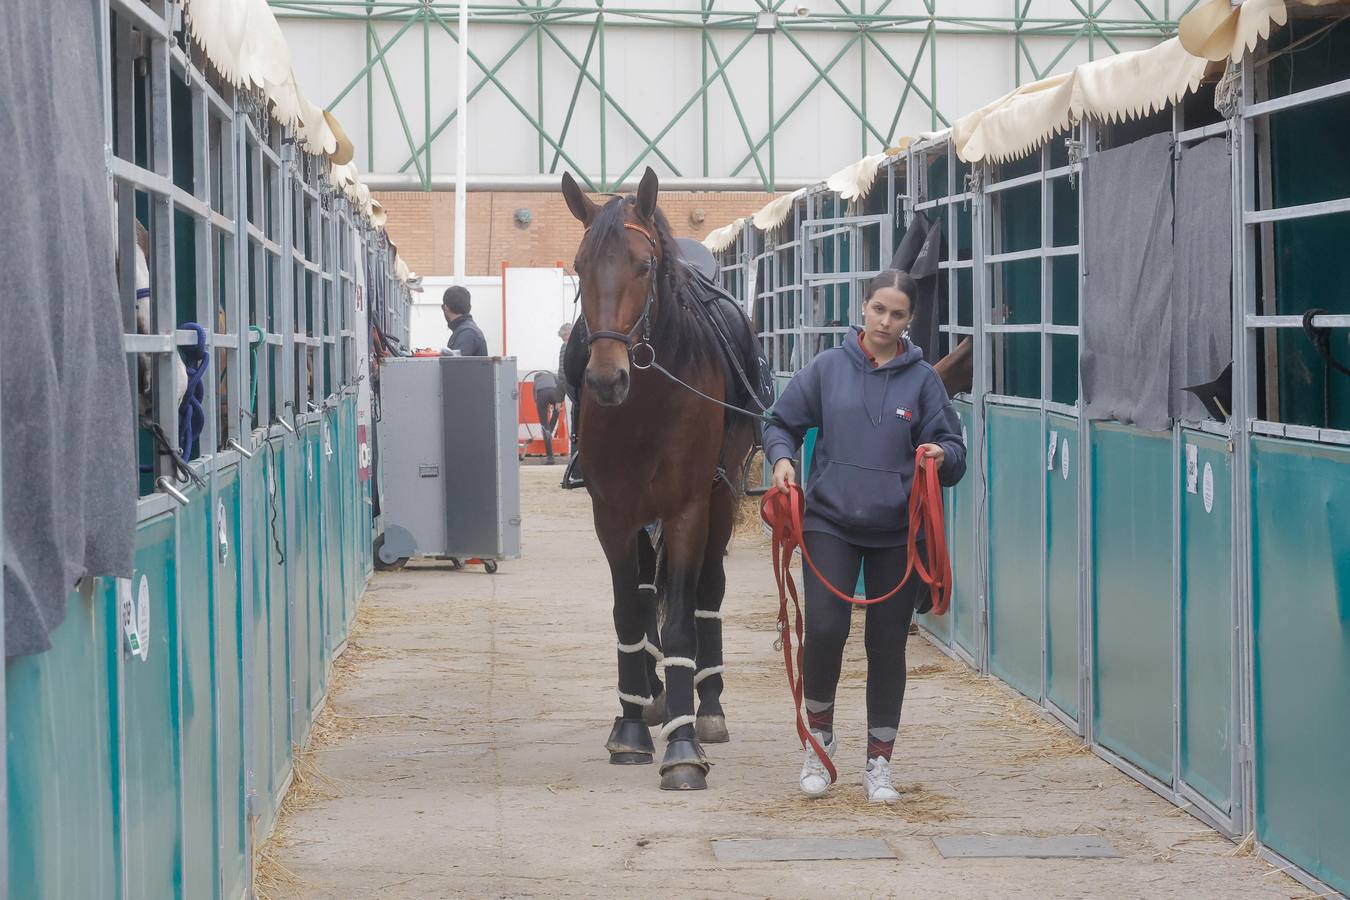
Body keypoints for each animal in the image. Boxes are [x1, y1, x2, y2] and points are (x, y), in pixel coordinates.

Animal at [561, 167, 761, 788]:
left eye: (644, 266)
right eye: (579, 265)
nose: (606, 378)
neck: (647, 401)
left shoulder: (687, 508)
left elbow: (680, 622)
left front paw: (683, 745)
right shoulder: (613, 513)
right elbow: (631, 612)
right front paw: (630, 728)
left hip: (720, 501)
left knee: (706, 593)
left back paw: (708, 704)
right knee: (649, 595)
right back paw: (648, 698)